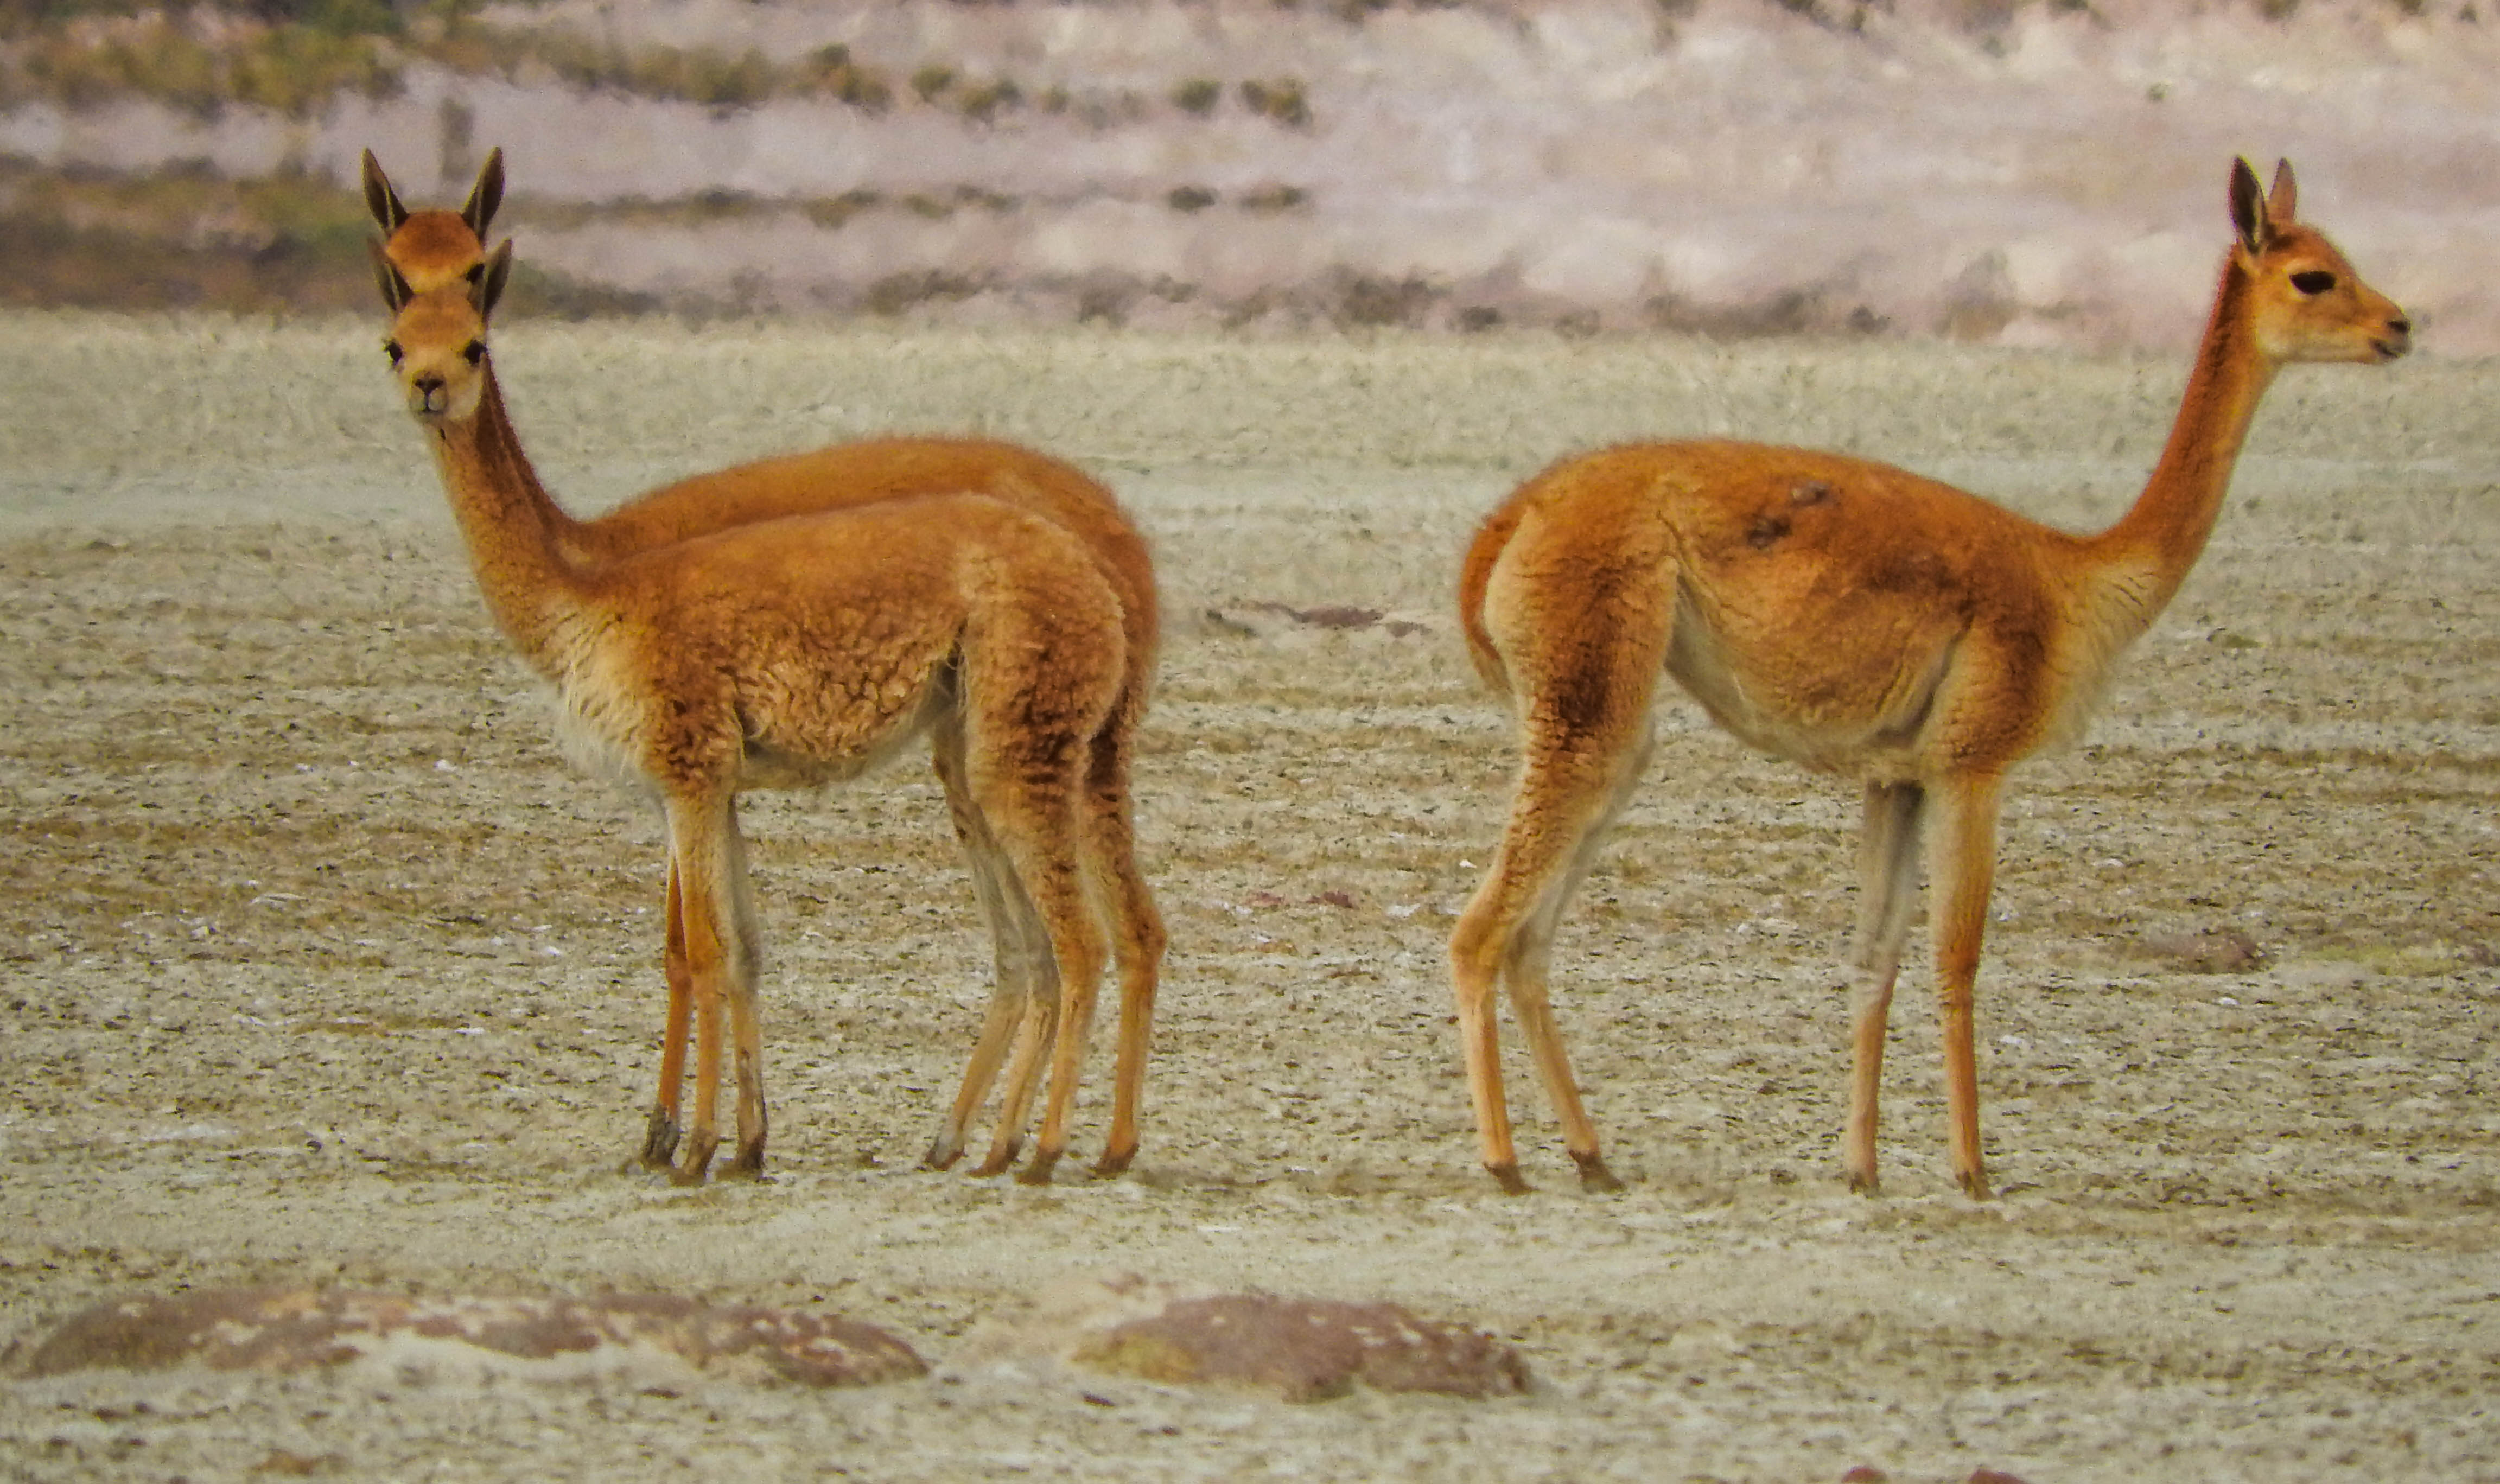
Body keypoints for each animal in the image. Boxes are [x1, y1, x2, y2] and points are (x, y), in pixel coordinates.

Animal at [358, 150, 1167, 1181]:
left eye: (473, 331)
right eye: (393, 329)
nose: (428, 384)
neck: (589, 573)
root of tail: (1115, 552)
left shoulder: (687, 770)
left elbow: (692, 950)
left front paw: (682, 1139)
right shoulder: (714, 783)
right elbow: (737, 949)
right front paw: (740, 1139)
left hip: (1014, 742)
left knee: (1078, 941)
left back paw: (1033, 1148)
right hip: (1041, 744)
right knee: (1099, 937)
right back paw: (1033, 1142)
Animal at [1449, 158, 2410, 1201]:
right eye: (2313, 277)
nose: (2399, 326)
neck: (2080, 581)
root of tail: (1510, 518)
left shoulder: (1897, 776)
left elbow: (1874, 956)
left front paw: (1862, 1167)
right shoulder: (1972, 766)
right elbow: (1958, 958)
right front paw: (1972, 1169)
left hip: (1615, 729)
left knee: (1529, 939)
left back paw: (1591, 1156)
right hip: (1588, 704)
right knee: (1478, 931)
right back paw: (1503, 1161)